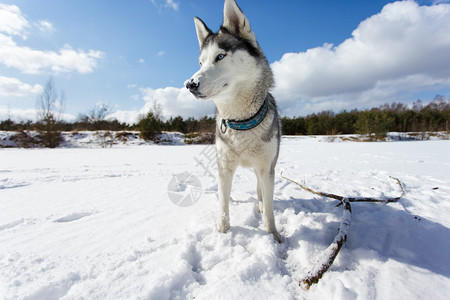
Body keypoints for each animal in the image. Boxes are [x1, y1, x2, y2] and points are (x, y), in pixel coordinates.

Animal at [185, 0, 282, 241]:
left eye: (220, 56)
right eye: (200, 63)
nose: (190, 84)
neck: (241, 122)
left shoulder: (266, 167)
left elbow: (270, 207)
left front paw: (273, 236)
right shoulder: (225, 166)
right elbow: (223, 206)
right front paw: (222, 231)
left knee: (260, 191)